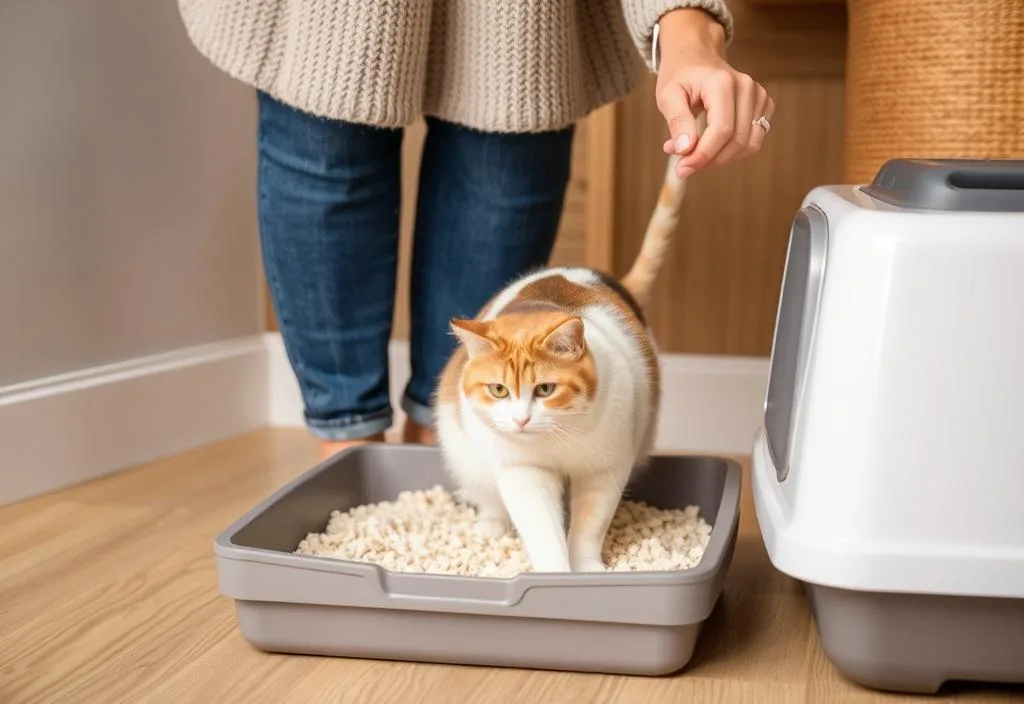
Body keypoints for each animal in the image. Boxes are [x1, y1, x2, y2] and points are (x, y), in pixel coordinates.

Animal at [436, 153, 692, 573]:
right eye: (498, 390)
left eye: (545, 389)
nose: (521, 420)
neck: (556, 442)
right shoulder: (523, 472)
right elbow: (542, 530)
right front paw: (554, 573)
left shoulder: (606, 470)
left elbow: (589, 526)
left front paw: (586, 569)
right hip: (466, 452)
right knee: (486, 497)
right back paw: (490, 527)